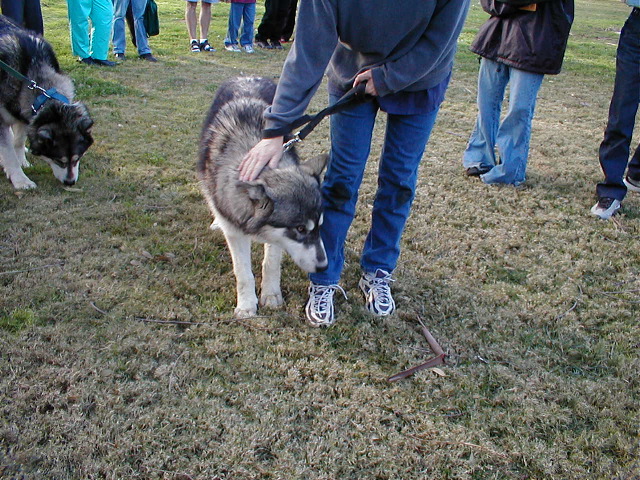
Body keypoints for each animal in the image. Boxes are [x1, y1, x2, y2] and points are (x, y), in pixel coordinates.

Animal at [0, 15, 94, 188]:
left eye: (77, 158)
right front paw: (20, 179)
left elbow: (18, 141)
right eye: (58, 160)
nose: (70, 182)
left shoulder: (25, 114)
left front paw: (22, 161)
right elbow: (9, 153)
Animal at [199, 77, 330, 316]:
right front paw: (246, 306)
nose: (324, 266)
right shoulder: (235, 231)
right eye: (300, 229)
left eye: (319, 226)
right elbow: (243, 273)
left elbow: (270, 264)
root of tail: (246, 76)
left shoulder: (276, 237)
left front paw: (271, 295)